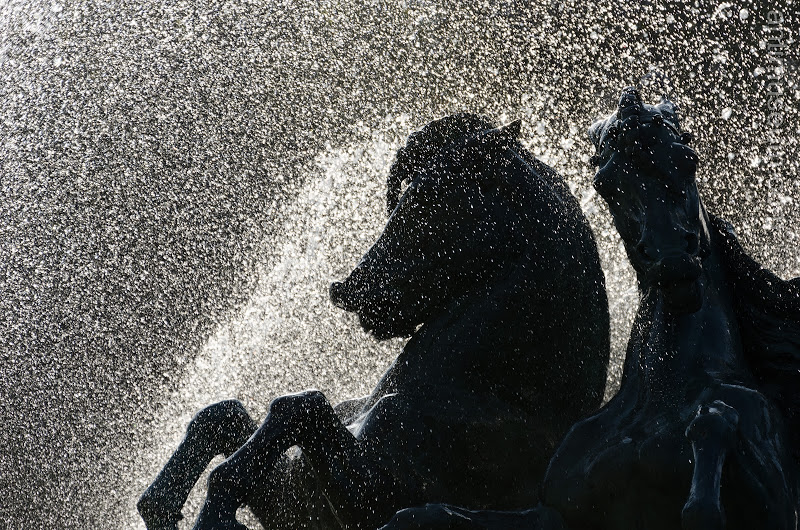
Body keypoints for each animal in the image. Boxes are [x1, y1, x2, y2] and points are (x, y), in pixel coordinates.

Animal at [141, 113, 608, 524]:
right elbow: (225, 414)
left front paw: (213, 511)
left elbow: (299, 406)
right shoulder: (296, 501)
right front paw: (159, 506)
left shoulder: (375, 499)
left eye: (420, 202)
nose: (346, 289)